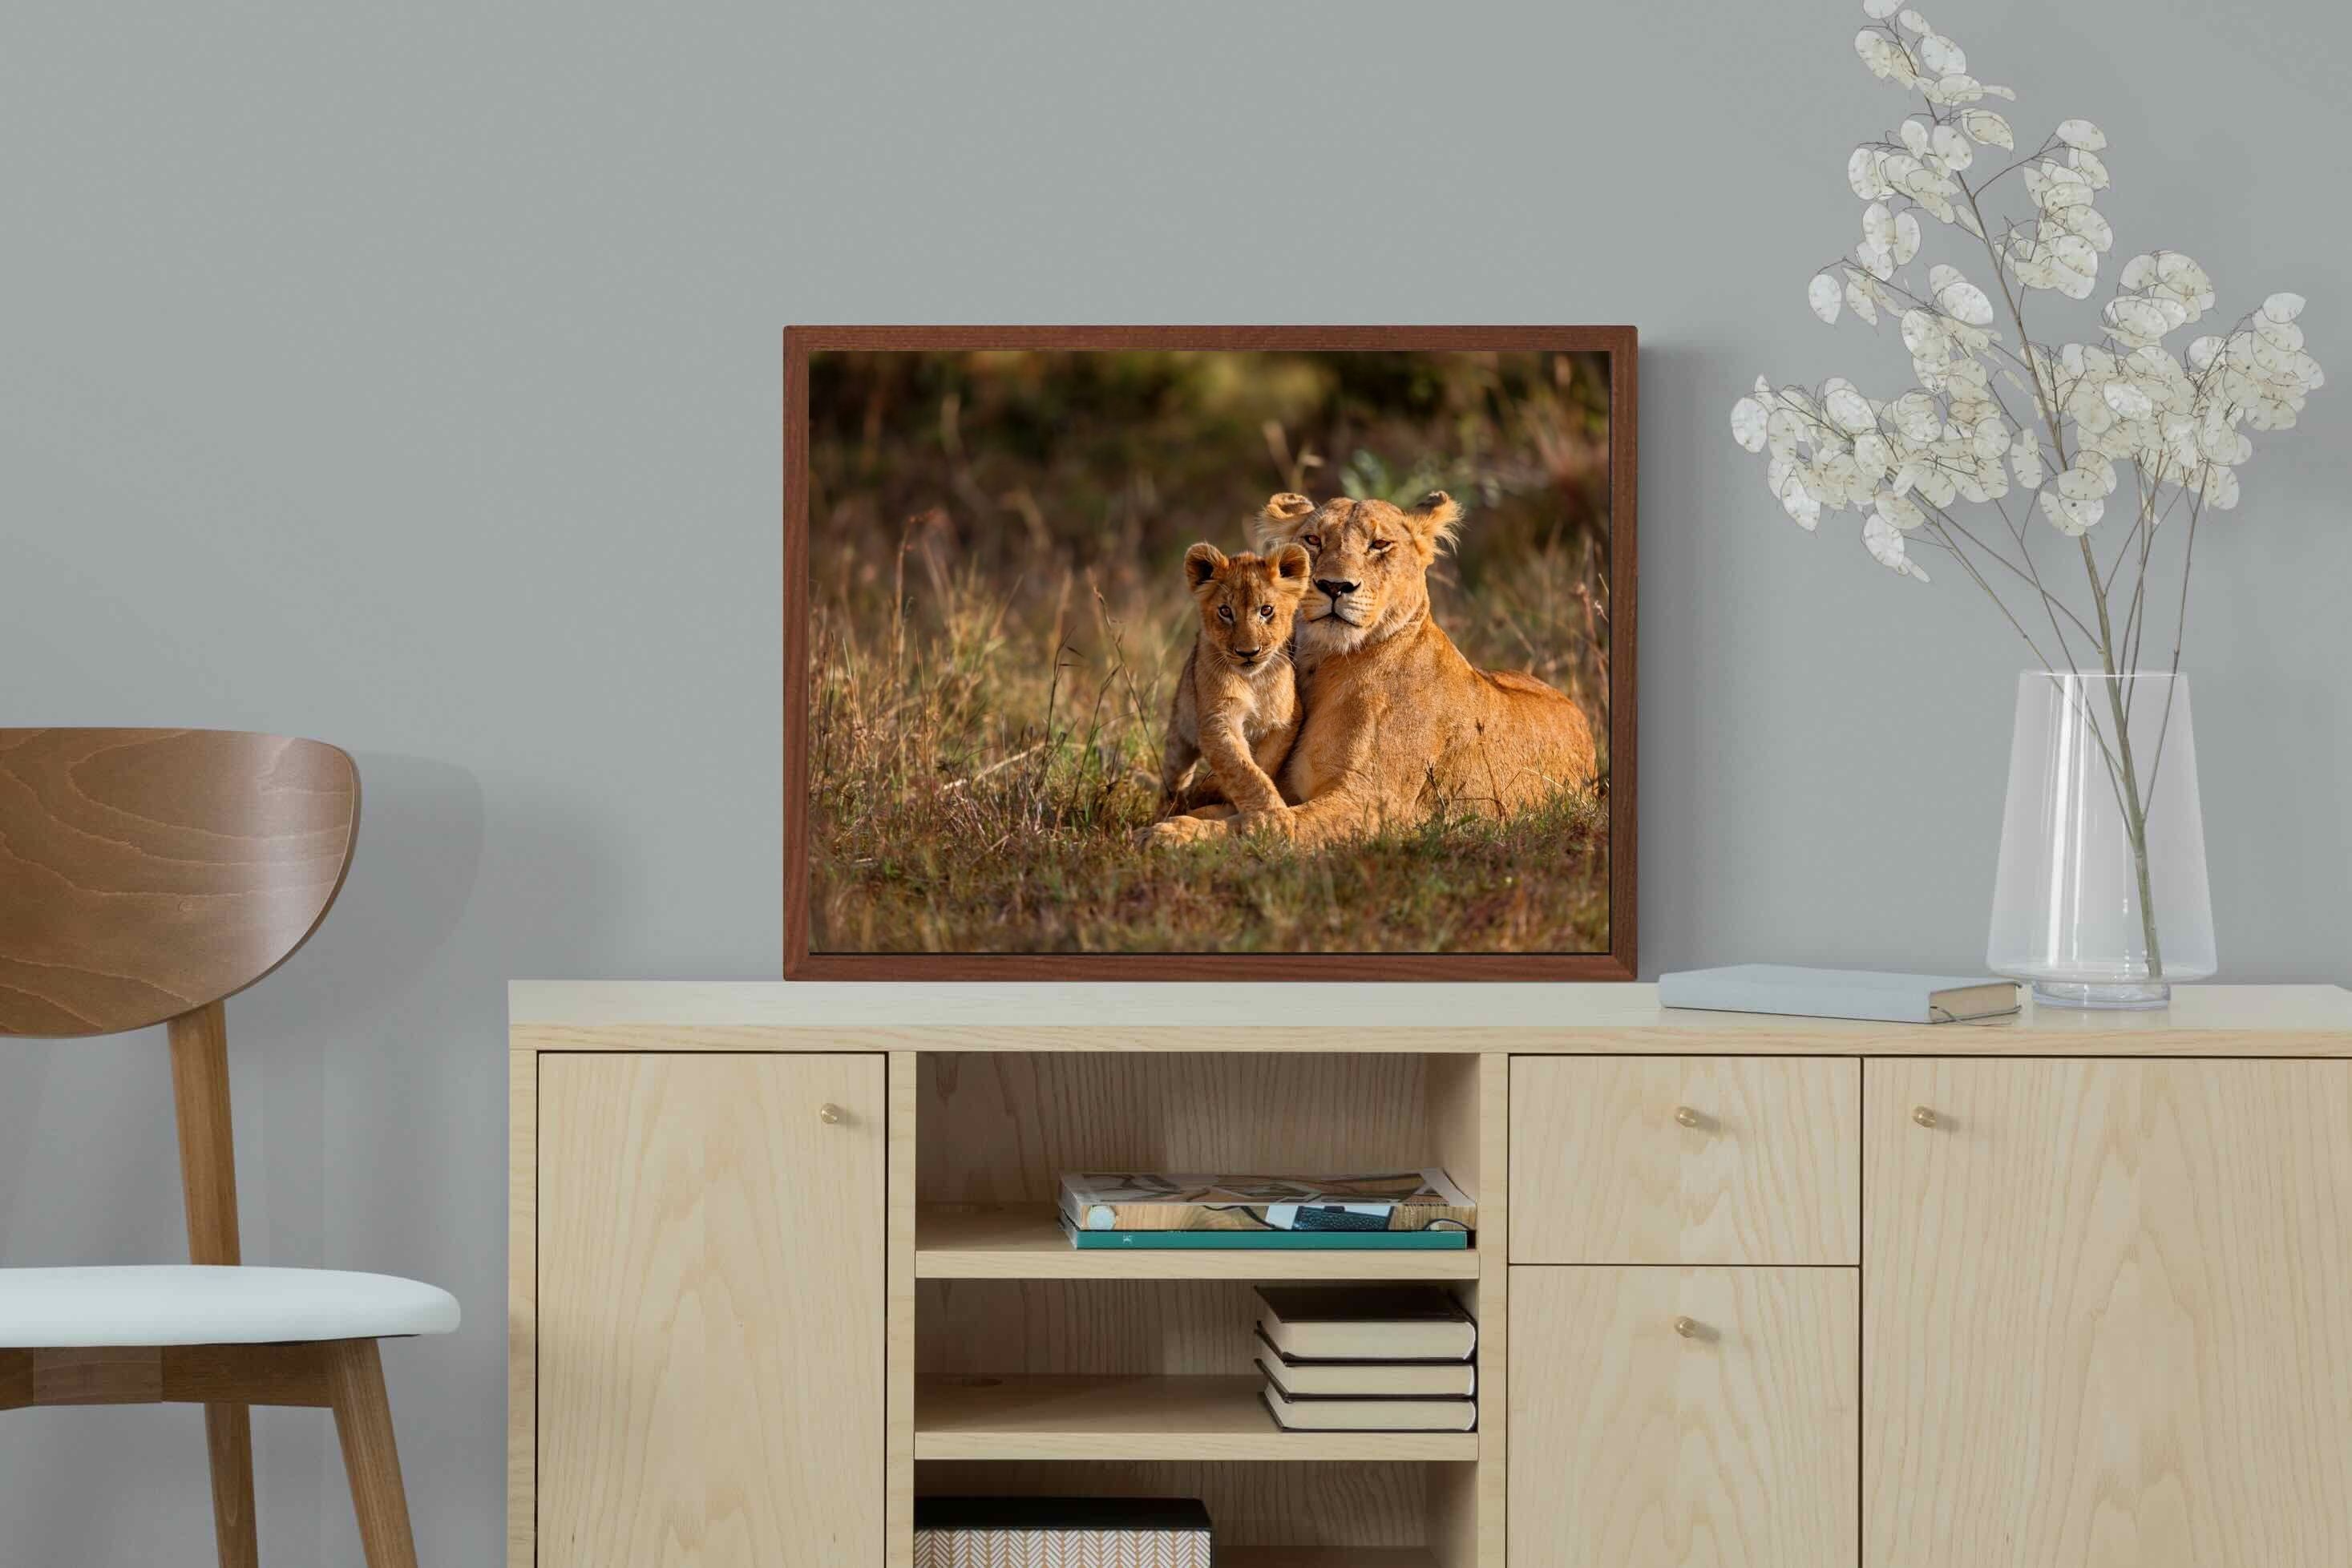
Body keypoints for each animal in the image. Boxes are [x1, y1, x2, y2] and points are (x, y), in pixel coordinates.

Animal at [1156, 541, 1313, 817]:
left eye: (1266, 610)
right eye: (1226, 611)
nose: (1248, 652)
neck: (1253, 681)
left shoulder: (1286, 720)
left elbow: (1262, 765)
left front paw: (1218, 791)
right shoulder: (1218, 720)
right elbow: (1243, 770)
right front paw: (1272, 817)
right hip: (1179, 733)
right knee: (1173, 778)